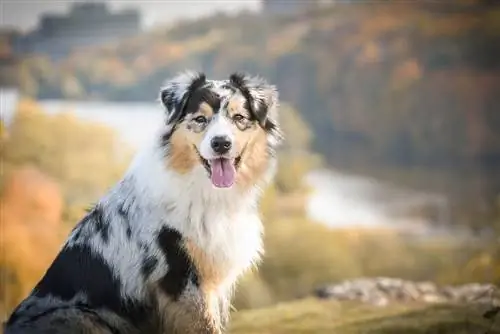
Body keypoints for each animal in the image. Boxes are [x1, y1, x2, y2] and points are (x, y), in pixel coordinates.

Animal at [4, 71, 282, 334]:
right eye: (200, 120)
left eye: (239, 118)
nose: (221, 143)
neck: (207, 192)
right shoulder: (182, 281)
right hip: (81, 316)